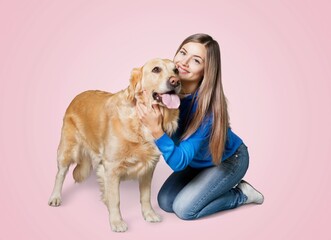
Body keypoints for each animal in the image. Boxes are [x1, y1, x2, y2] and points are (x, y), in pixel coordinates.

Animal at [48, 57, 180, 232]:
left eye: (176, 70)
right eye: (156, 69)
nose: (176, 81)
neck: (139, 122)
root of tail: (77, 95)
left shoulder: (148, 166)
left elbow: (145, 196)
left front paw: (149, 214)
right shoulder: (111, 167)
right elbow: (115, 199)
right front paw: (117, 222)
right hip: (67, 149)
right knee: (60, 174)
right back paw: (55, 197)